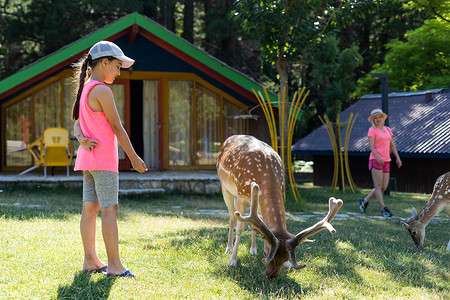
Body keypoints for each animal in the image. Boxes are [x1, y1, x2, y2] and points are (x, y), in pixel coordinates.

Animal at [216, 135, 342, 278]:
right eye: (266, 253)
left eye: (287, 257)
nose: (271, 276)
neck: (265, 174)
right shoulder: (241, 194)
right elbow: (240, 228)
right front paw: (233, 261)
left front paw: (286, 266)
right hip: (225, 187)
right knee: (232, 216)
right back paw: (228, 249)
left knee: (253, 222)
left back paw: (253, 250)